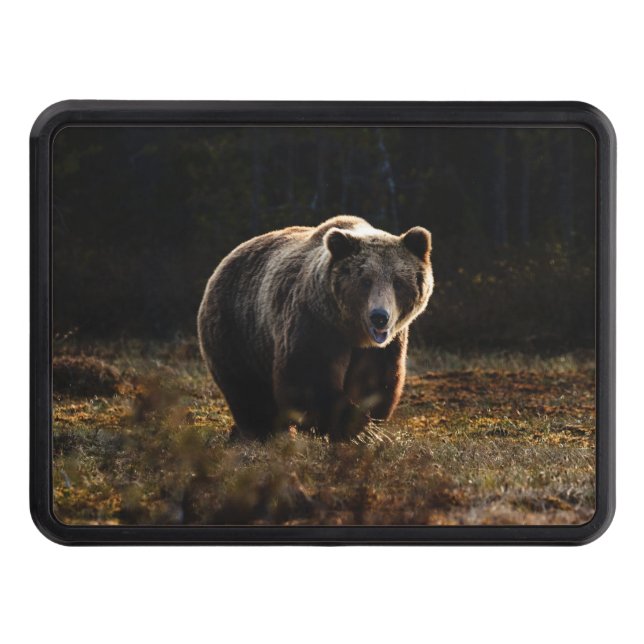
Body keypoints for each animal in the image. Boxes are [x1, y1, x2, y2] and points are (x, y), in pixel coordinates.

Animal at [197, 215, 434, 441]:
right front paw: (356, 428)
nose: (379, 317)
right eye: (365, 281)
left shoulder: (384, 346)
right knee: (248, 390)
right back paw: (263, 432)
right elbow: (307, 377)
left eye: (398, 282)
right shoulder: (315, 324)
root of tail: (224, 261)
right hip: (238, 330)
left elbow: (375, 381)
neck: (352, 331)